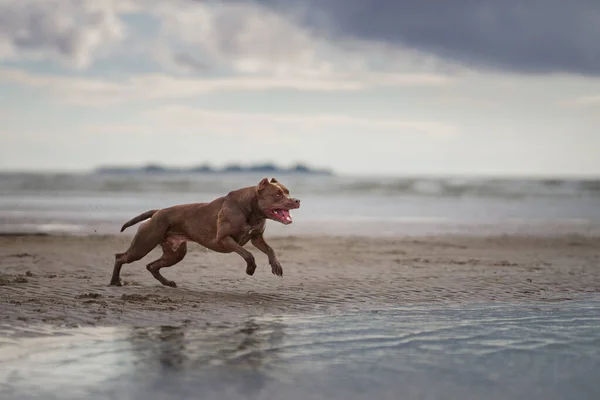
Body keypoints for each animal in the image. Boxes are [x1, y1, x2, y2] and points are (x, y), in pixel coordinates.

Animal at [109, 178, 300, 288]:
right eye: (278, 194)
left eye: (288, 192)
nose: (297, 200)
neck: (252, 211)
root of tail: (157, 212)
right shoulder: (224, 239)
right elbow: (248, 254)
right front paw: (250, 269)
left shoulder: (256, 238)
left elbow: (270, 249)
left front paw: (276, 266)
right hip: (143, 245)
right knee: (120, 257)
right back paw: (115, 282)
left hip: (175, 253)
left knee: (152, 266)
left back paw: (168, 283)